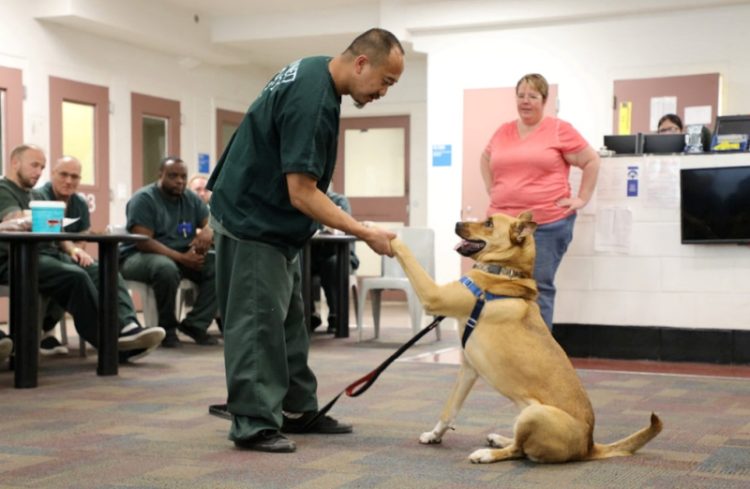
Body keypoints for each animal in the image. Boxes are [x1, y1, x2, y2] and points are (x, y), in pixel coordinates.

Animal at [390, 212, 660, 464]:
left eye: (488, 223)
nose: (457, 223)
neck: (506, 273)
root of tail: (589, 445)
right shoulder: (468, 369)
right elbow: (449, 410)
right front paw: (434, 435)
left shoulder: (433, 296)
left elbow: (406, 253)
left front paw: (388, 236)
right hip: (523, 414)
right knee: (519, 443)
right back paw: (499, 438)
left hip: (535, 414)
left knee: (519, 451)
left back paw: (487, 453)